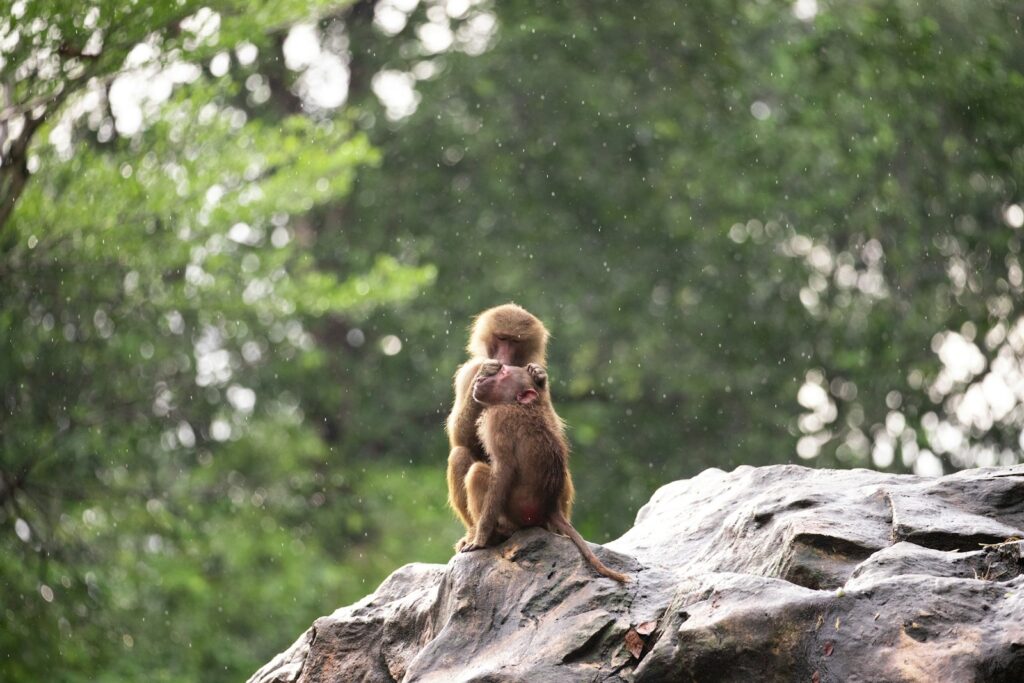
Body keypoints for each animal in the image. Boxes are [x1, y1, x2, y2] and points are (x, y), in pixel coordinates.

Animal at [446, 304, 552, 550]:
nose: (502, 359)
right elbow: (458, 438)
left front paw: (539, 377)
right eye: (501, 338)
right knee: (459, 454)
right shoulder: (468, 372)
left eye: (514, 341)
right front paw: (485, 372)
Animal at [460, 360, 629, 583]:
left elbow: (503, 471)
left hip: (517, 516)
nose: (479, 380)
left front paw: (480, 540)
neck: (517, 404)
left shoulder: (498, 420)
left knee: (477, 472)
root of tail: (550, 507)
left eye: (503, 373)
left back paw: (494, 537)